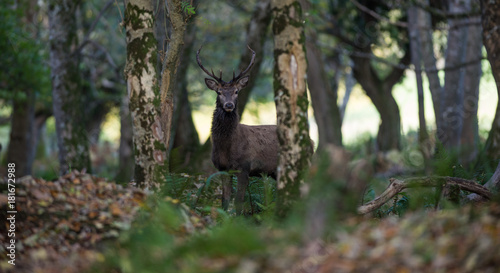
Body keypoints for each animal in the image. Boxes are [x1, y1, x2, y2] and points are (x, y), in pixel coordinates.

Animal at [197, 45, 280, 214]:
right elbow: (225, 200)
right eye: (219, 92)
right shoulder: (222, 168)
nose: (229, 105)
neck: (226, 146)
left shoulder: (244, 167)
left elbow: (238, 201)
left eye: (236, 91)